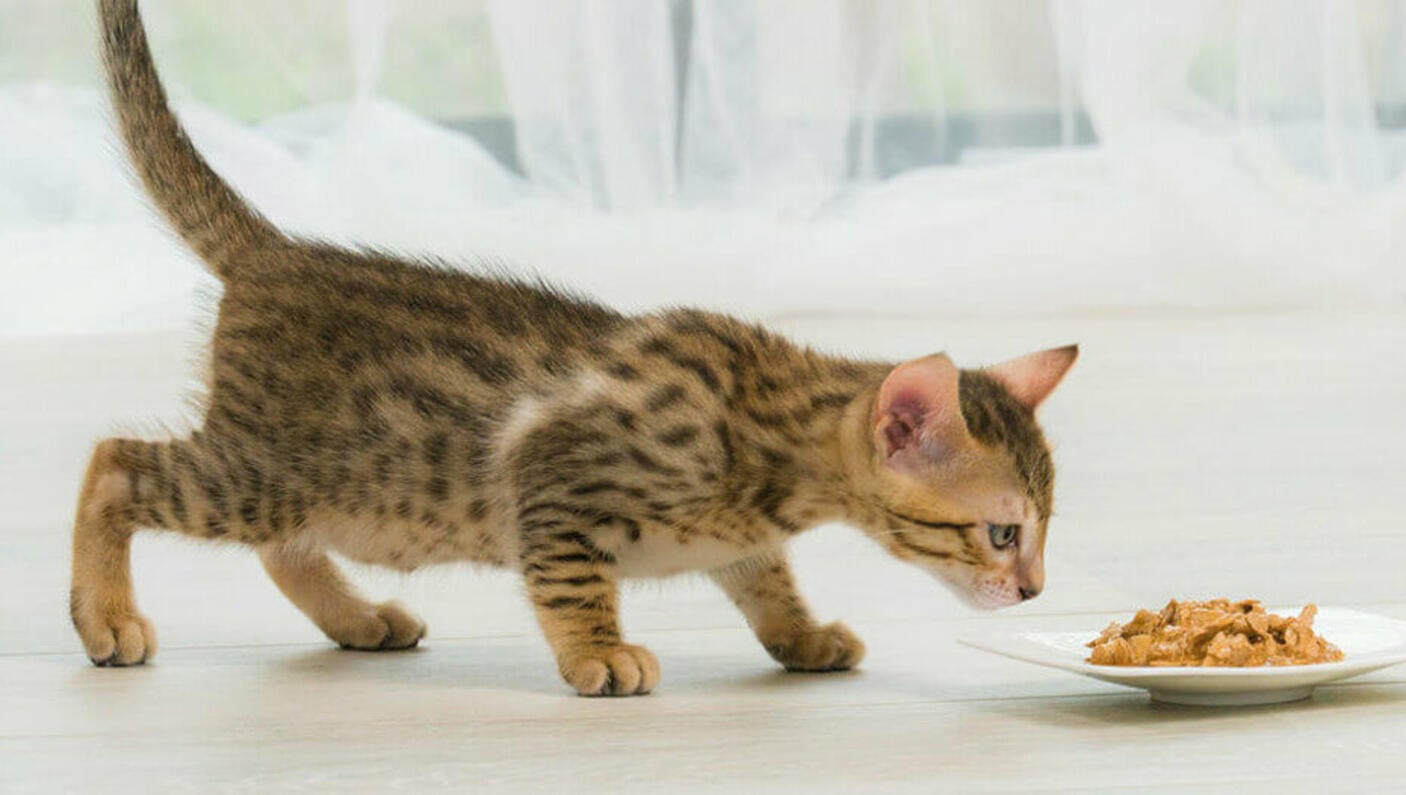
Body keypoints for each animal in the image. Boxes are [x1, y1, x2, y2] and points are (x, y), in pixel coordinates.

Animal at [74, 0, 1074, 695]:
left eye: (1043, 530)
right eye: (1002, 532)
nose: (1034, 590)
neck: (773, 446)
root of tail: (275, 252)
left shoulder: (741, 538)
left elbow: (767, 579)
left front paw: (802, 633)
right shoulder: (553, 478)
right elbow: (573, 582)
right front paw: (601, 651)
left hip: (335, 490)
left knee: (281, 546)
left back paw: (357, 618)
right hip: (272, 470)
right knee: (116, 462)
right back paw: (108, 618)